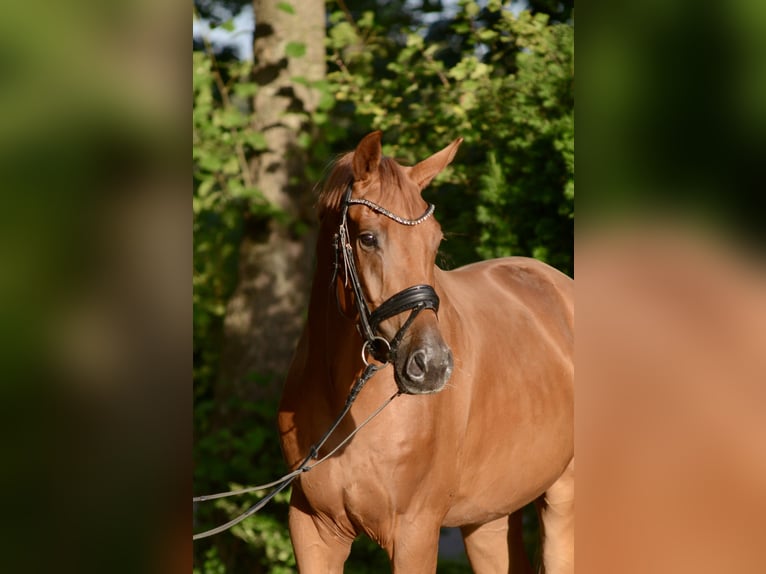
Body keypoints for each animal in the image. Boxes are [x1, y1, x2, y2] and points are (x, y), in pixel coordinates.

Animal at [278, 131, 574, 573]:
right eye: (368, 238)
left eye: (435, 241)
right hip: (488, 518)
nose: (431, 365)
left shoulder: (415, 532)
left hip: (564, 503)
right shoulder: (312, 530)